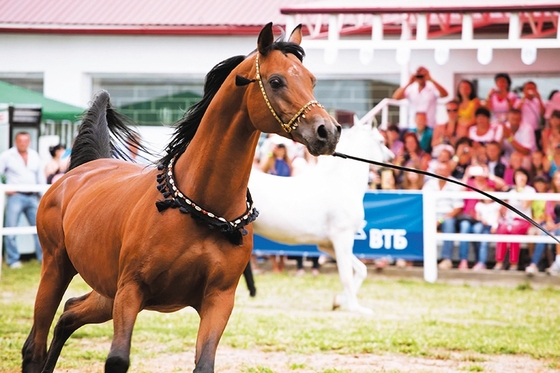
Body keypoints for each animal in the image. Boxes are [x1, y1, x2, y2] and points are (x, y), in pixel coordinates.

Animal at [21, 24, 340, 372]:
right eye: (277, 81)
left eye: (311, 79)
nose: (328, 131)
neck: (203, 209)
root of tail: (82, 171)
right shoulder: (131, 290)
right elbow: (117, 359)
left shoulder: (218, 299)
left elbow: (204, 363)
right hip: (57, 267)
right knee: (35, 345)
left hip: (105, 292)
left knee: (68, 314)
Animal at [250, 119, 394, 310]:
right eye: (381, 141)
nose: (391, 157)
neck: (342, 182)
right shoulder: (342, 238)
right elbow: (346, 276)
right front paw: (355, 308)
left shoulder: (328, 245)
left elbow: (361, 269)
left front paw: (339, 302)